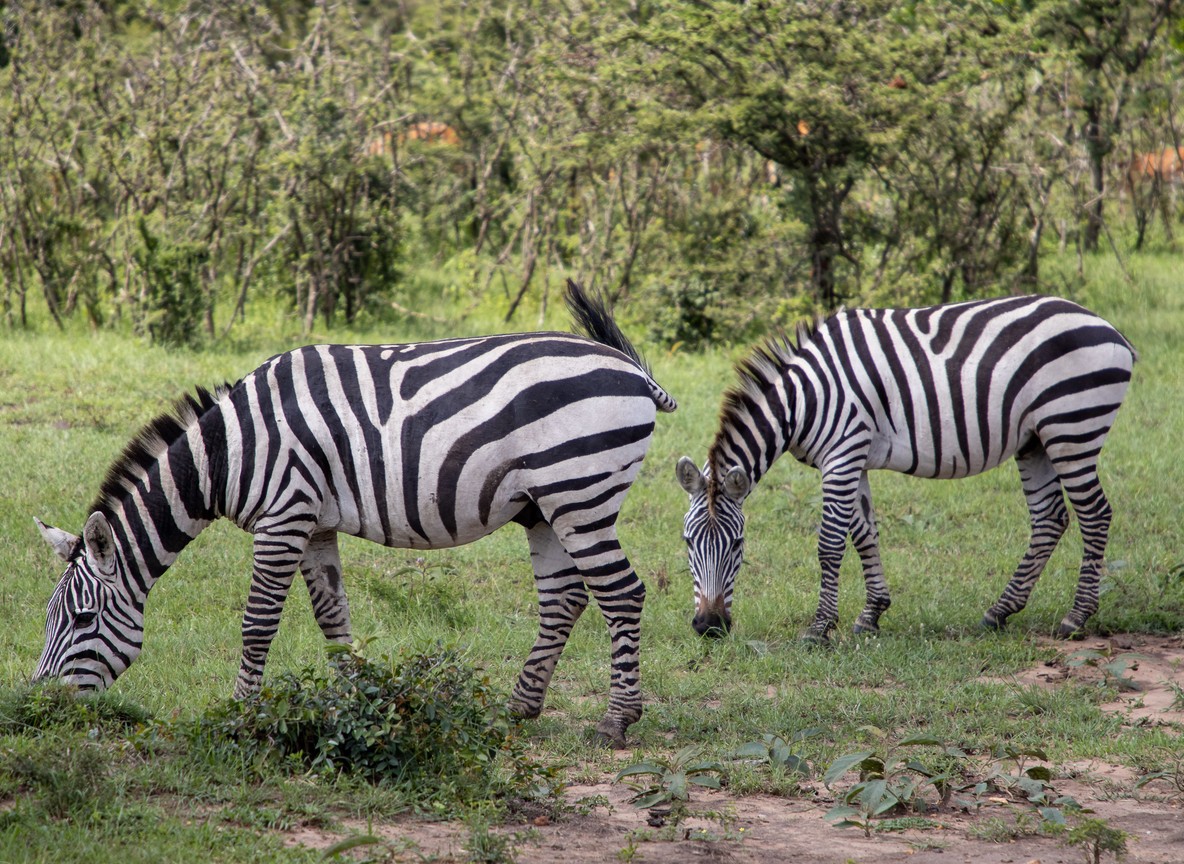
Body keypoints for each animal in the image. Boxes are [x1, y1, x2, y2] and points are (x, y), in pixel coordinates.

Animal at [32, 280, 675, 747]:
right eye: (48, 618)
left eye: (83, 620)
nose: (38, 707)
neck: (230, 452)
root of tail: (633, 370)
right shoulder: (314, 523)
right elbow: (333, 620)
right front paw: (354, 702)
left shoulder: (284, 514)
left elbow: (258, 621)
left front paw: (241, 714)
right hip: (545, 507)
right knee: (564, 598)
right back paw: (519, 709)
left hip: (579, 492)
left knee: (622, 593)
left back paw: (617, 720)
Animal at [676, 295, 1135, 642]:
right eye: (687, 542)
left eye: (738, 545)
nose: (709, 627)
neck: (803, 400)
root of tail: (1110, 329)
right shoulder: (852, 457)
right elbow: (864, 533)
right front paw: (871, 614)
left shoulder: (842, 454)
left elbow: (830, 543)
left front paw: (820, 628)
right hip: (1035, 440)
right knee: (1049, 519)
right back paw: (999, 611)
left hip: (1071, 427)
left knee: (1094, 514)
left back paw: (1076, 617)